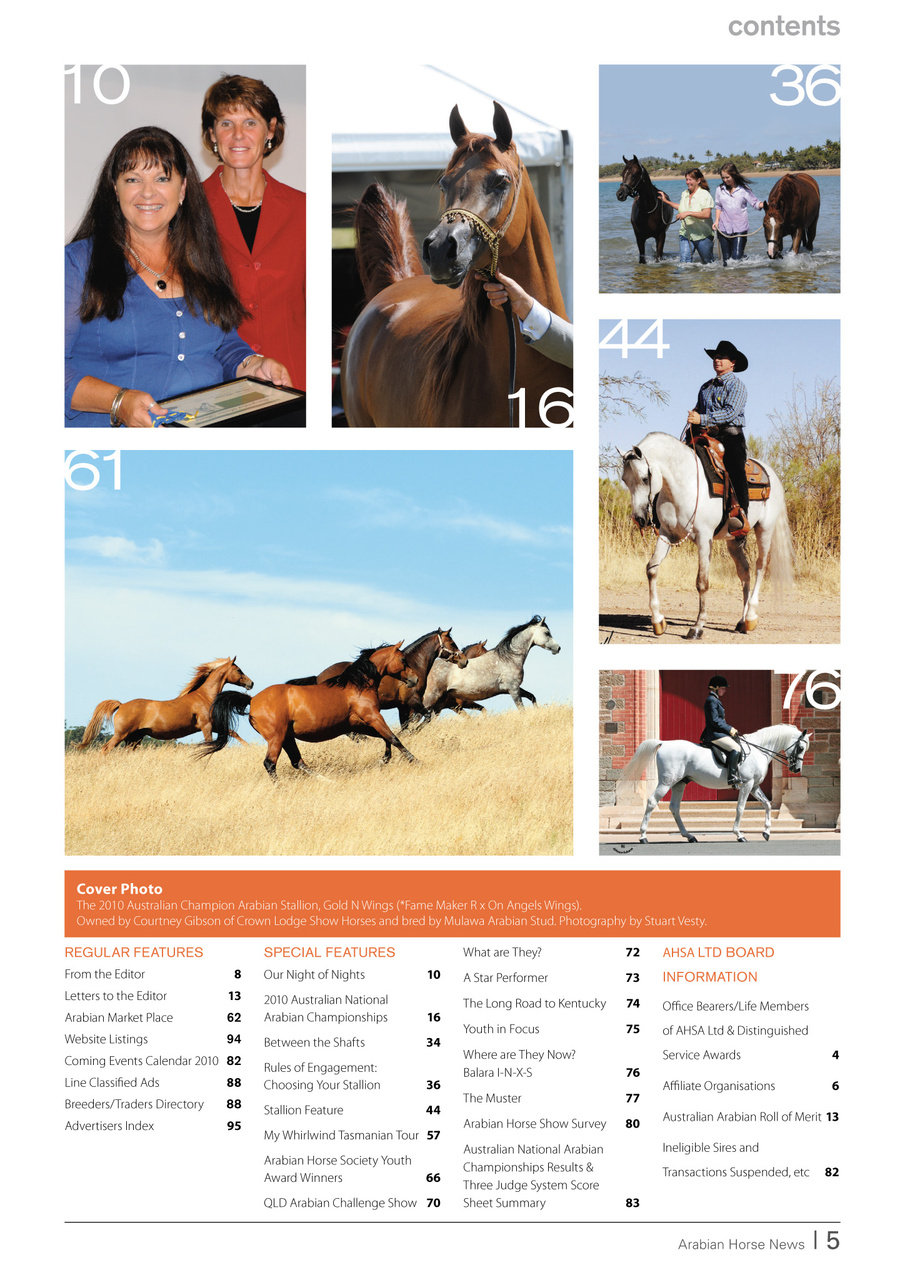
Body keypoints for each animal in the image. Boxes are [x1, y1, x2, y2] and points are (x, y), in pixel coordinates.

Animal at [76, 657, 254, 753]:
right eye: (239, 670)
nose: (251, 683)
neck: (204, 697)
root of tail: (122, 705)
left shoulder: (213, 725)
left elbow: (233, 732)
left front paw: (248, 746)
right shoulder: (206, 726)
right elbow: (210, 741)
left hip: (134, 738)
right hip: (122, 734)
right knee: (106, 748)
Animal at [199, 644, 420, 781]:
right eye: (403, 659)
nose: (415, 679)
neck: (358, 685)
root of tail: (252, 700)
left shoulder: (359, 724)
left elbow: (387, 739)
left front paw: (385, 760)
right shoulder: (373, 717)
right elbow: (394, 738)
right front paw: (416, 761)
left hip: (287, 737)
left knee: (298, 762)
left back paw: (328, 781)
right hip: (277, 738)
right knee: (270, 763)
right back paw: (281, 788)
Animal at [422, 617, 560, 718]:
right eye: (547, 633)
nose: (558, 648)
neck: (509, 658)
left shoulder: (512, 688)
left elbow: (532, 697)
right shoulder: (513, 689)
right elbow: (521, 708)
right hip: (431, 699)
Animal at [615, 724, 811, 843]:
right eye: (801, 747)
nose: (796, 769)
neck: (758, 750)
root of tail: (664, 743)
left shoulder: (754, 786)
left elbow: (768, 805)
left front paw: (767, 832)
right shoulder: (747, 785)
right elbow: (740, 808)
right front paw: (739, 834)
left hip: (679, 783)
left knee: (674, 807)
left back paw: (689, 836)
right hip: (666, 782)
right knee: (651, 802)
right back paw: (643, 836)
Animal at [621, 432, 794, 639]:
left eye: (645, 478)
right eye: (624, 480)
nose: (639, 518)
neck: (684, 483)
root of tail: (773, 475)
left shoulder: (704, 538)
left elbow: (702, 581)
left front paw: (697, 626)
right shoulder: (666, 535)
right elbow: (652, 569)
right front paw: (658, 621)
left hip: (764, 530)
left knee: (760, 567)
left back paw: (751, 617)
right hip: (734, 540)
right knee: (744, 571)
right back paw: (742, 621)